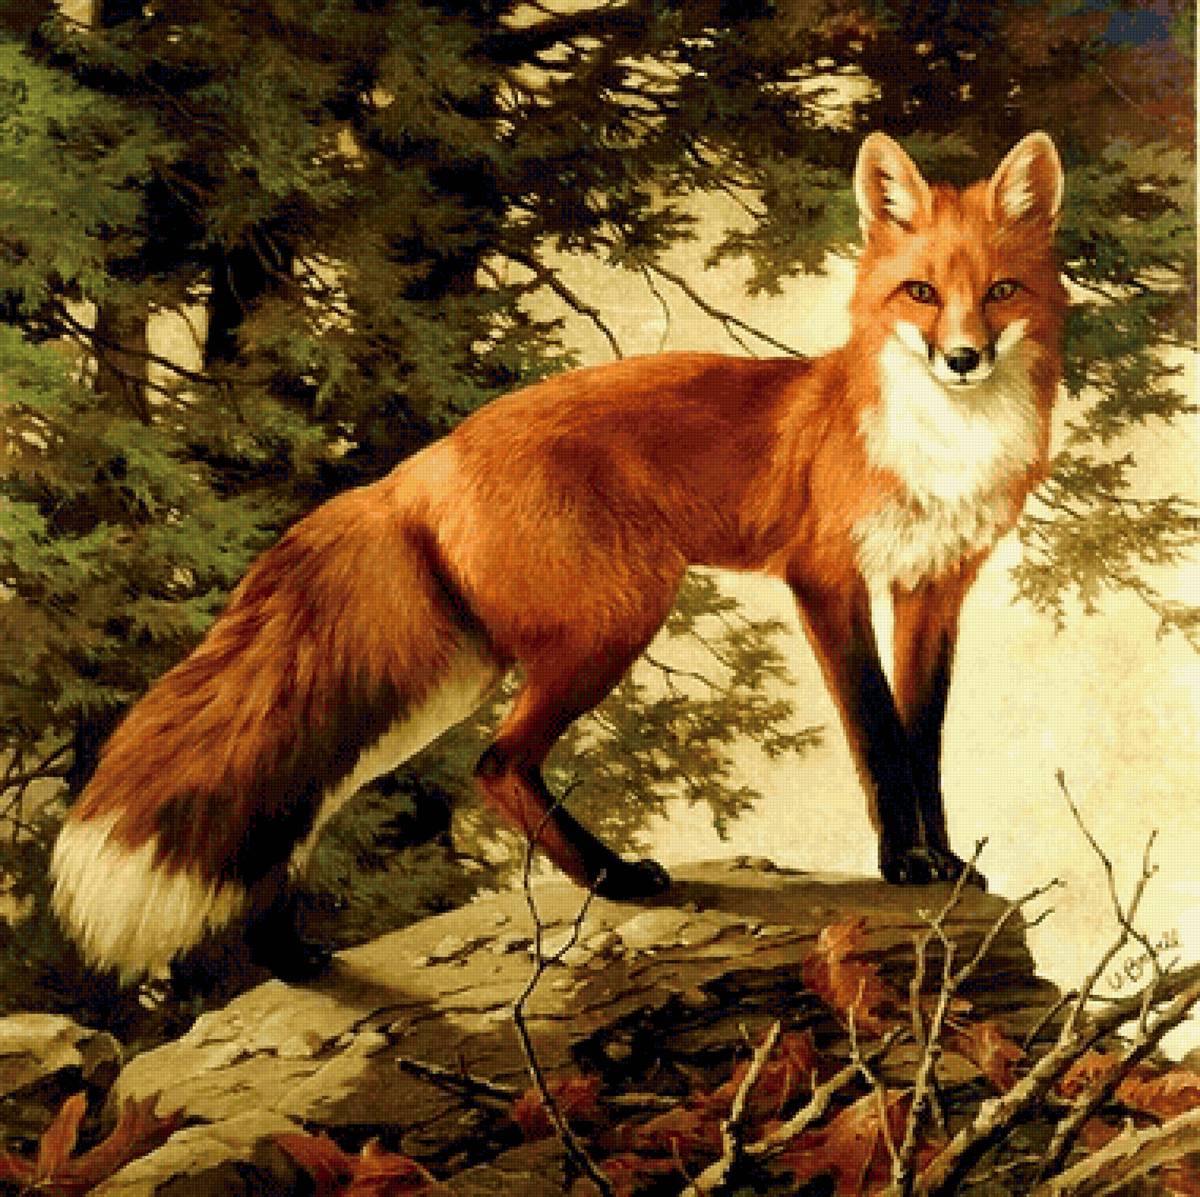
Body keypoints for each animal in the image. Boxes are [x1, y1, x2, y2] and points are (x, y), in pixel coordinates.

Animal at [50, 131, 1066, 983]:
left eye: (1001, 292)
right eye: (920, 293)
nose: (965, 358)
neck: (940, 450)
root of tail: (418, 466)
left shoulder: (937, 588)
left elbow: (923, 740)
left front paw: (944, 861)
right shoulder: (826, 577)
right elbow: (877, 737)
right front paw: (904, 861)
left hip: (450, 675)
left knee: (320, 807)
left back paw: (295, 960)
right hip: (608, 622)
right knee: (495, 766)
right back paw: (611, 877)